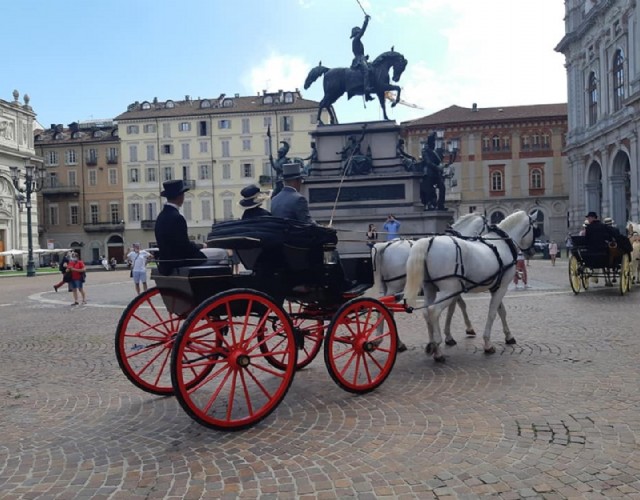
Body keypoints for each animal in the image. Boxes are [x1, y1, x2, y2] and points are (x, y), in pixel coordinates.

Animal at [370, 211, 490, 348]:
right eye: (489, 225)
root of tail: (386, 245)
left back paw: (385, 339)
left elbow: (459, 305)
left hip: (389, 287)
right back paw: (393, 342)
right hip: (395, 286)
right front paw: (453, 334)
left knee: (383, 307)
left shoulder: (453, 288)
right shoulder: (452, 287)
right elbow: (454, 308)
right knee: (386, 309)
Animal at [404, 209, 536, 362]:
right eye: (535, 228)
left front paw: (508, 336)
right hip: (448, 290)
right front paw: (487, 343)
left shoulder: (495, 287)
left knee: (426, 312)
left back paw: (431, 344)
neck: (502, 244)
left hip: (430, 288)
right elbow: (492, 313)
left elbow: (501, 311)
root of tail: (429, 241)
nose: (532, 252)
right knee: (433, 311)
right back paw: (437, 348)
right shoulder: (501, 288)